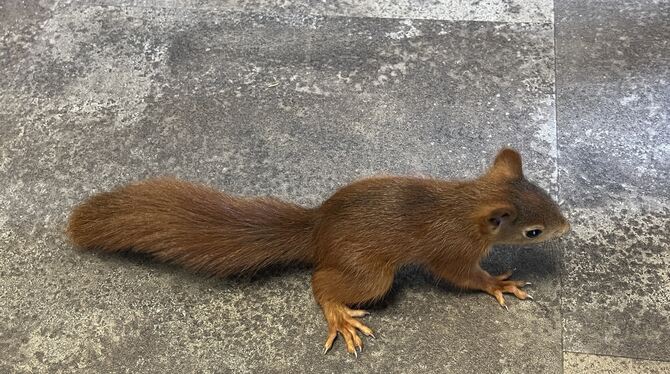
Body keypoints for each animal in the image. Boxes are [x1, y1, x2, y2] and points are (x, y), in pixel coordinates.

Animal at [67, 147, 572, 356]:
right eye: (533, 231)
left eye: (546, 194)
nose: (566, 227)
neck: (467, 204)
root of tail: (317, 231)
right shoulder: (451, 248)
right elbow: (463, 276)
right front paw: (499, 282)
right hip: (371, 273)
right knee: (321, 281)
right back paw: (340, 316)